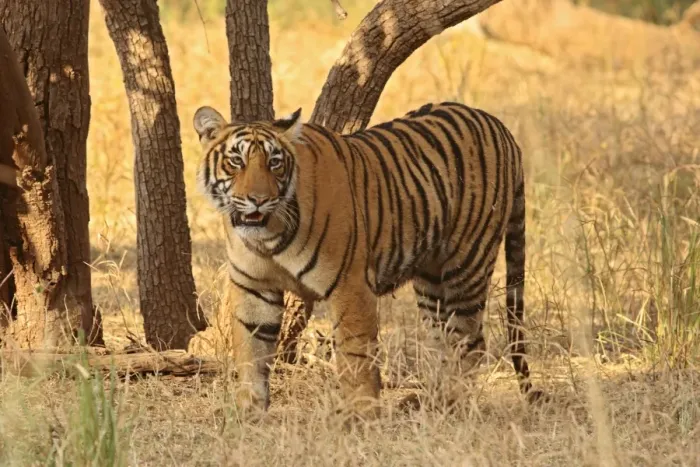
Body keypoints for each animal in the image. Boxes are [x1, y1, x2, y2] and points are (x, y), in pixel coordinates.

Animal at [192, 101, 544, 419]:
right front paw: (249, 414)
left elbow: (355, 353)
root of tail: (501, 126)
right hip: (432, 279)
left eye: (274, 162)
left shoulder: (350, 283)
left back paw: (454, 407)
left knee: (470, 341)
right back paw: (430, 403)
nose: (258, 199)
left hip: (467, 263)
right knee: (442, 339)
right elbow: (251, 353)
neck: (267, 234)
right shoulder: (253, 287)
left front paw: (360, 416)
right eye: (236, 161)